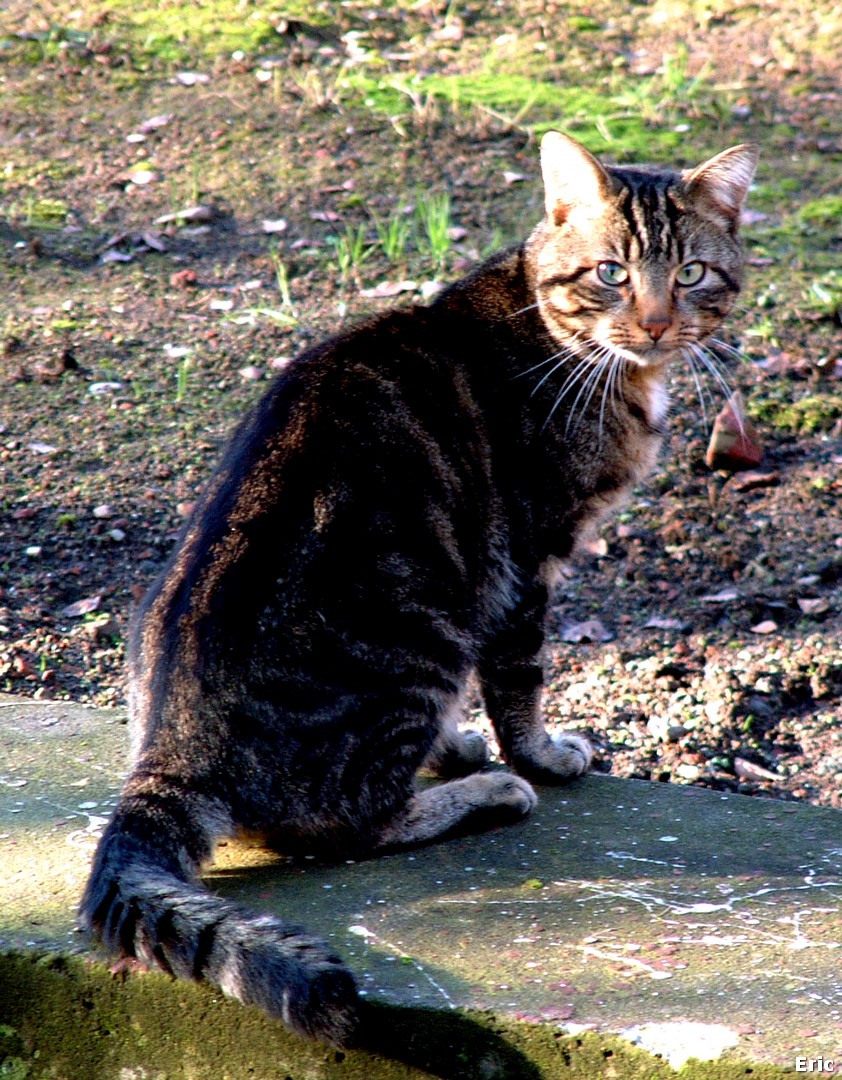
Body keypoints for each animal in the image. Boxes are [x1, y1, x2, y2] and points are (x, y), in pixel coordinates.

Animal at [82, 132, 759, 1045]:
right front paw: (538, 755)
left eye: (689, 273)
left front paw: (470, 742)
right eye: (612, 271)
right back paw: (485, 792)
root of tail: (172, 747)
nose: (654, 322)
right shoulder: (527, 562)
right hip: (423, 632)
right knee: (344, 825)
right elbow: (521, 683)